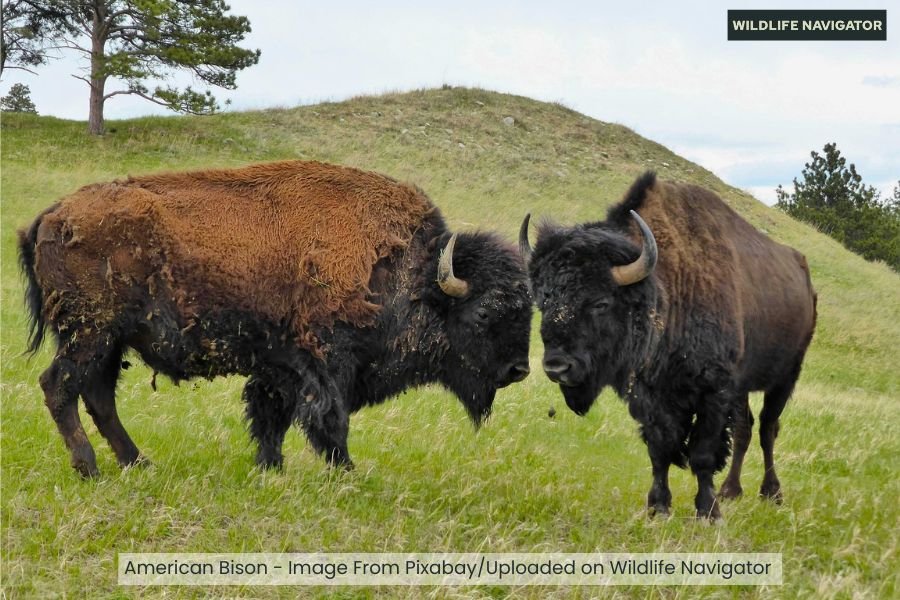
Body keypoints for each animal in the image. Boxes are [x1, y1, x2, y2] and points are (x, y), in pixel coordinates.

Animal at [19, 160, 532, 478]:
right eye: (486, 311)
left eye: (529, 309)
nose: (519, 369)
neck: (407, 271)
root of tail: (53, 215)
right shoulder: (326, 363)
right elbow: (329, 420)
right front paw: (347, 472)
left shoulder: (279, 368)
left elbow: (271, 417)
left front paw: (271, 468)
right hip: (91, 333)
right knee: (60, 386)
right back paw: (90, 468)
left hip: (109, 340)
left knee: (98, 396)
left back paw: (137, 463)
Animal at [520, 172, 816, 519]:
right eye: (544, 300)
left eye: (601, 302)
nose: (557, 366)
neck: (666, 289)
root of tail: (804, 275)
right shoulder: (651, 395)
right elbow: (659, 450)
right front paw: (658, 508)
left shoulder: (713, 391)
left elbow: (703, 454)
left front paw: (709, 512)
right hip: (743, 387)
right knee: (745, 428)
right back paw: (731, 490)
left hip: (785, 377)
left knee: (768, 428)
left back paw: (771, 493)